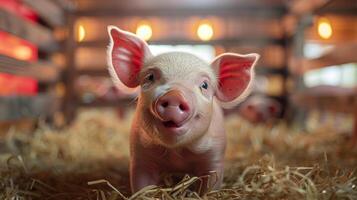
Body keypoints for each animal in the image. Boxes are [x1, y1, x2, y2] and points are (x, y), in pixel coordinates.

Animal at [105, 25, 258, 193]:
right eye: (150, 77)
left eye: (204, 85)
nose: (174, 95)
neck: (176, 153)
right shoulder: (140, 156)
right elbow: (142, 185)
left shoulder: (214, 158)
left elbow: (210, 186)